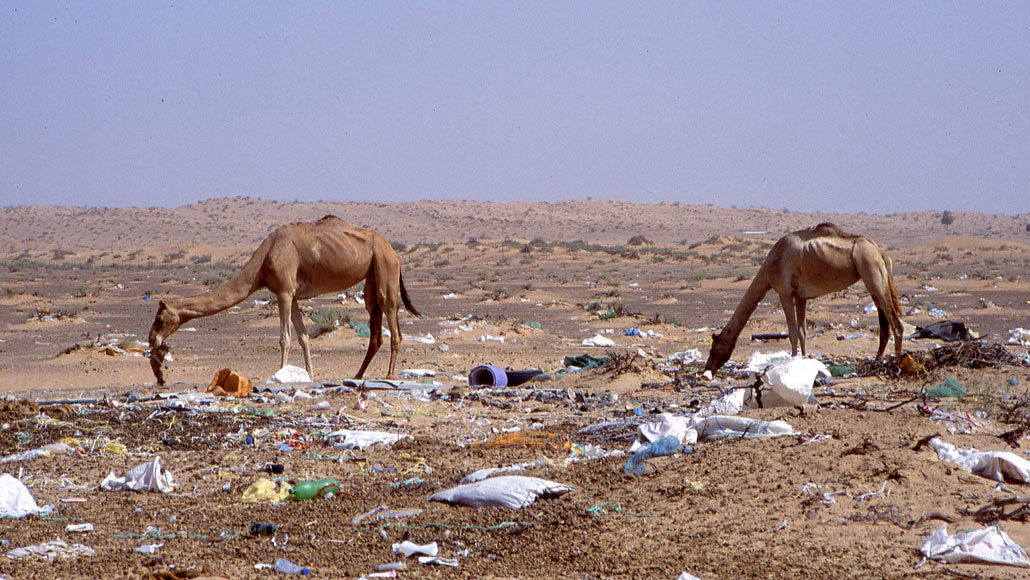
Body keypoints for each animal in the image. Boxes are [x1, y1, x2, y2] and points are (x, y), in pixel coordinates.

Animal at [146, 214, 418, 385]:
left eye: (159, 319)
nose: (151, 339)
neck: (264, 260)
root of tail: (394, 251)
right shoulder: (293, 294)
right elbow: (304, 337)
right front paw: (309, 375)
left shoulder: (284, 292)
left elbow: (284, 338)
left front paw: (278, 374)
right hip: (372, 273)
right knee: (374, 316)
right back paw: (358, 374)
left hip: (385, 266)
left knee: (390, 314)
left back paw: (389, 375)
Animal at [704, 222, 906, 372]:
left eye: (713, 350)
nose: (707, 369)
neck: (769, 266)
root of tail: (881, 252)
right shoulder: (801, 296)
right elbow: (802, 332)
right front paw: (802, 361)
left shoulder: (784, 292)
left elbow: (792, 332)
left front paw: (792, 363)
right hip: (875, 282)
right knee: (885, 325)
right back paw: (876, 363)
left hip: (872, 273)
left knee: (897, 325)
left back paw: (897, 364)